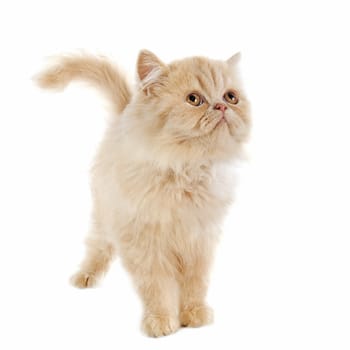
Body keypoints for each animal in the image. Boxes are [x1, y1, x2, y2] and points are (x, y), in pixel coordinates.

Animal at [36, 50, 252, 336]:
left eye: (231, 97)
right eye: (194, 99)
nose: (222, 107)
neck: (185, 170)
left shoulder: (200, 240)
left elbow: (195, 283)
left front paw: (194, 313)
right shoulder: (145, 242)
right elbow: (156, 285)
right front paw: (161, 320)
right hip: (104, 215)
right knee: (98, 245)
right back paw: (87, 275)